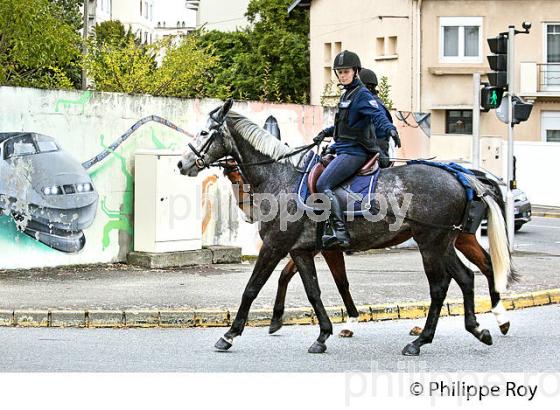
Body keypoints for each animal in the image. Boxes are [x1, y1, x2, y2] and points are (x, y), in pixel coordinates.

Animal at [177, 100, 516, 356]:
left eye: (205, 132)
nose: (182, 164)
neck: (282, 178)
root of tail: (460, 175)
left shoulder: (275, 246)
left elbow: (251, 288)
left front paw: (230, 334)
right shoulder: (301, 251)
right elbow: (314, 291)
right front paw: (323, 334)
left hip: (431, 243)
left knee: (441, 286)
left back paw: (421, 341)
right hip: (444, 242)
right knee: (466, 277)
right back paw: (478, 329)